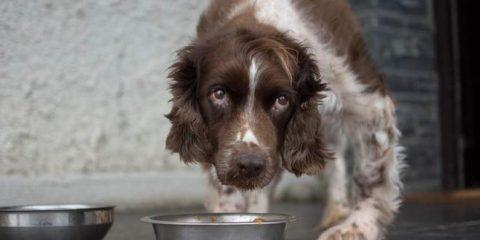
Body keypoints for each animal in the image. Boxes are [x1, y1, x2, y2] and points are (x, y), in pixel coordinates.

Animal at [165, 0, 404, 239]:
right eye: (219, 94)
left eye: (282, 100)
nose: (249, 165)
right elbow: (228, 187)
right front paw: (229, 217)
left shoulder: (368, 101)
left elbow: (371, 175)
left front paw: (357, 227)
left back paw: (338, 212)